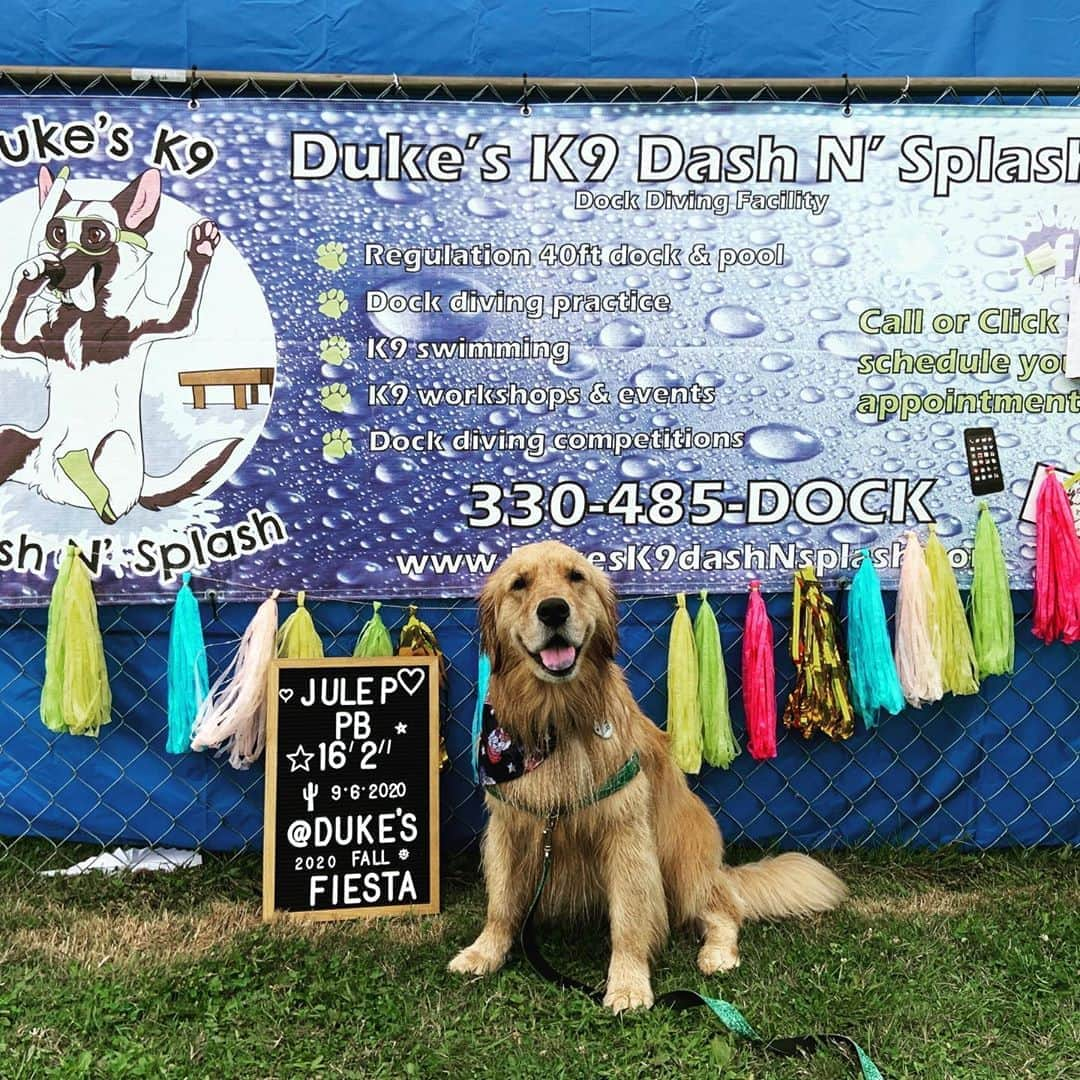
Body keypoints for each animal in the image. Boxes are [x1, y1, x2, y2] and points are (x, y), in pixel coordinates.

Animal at [447, 540, 842, 1010]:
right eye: (519, 584)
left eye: (576, 577)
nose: (554, 610)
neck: (556, 719)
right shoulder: (509, 825)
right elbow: (502, 902)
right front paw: (485, 951)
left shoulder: (626, 834)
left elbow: (630, 918)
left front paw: (629, 982)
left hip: (680, 859)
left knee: (723, 908)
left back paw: (717, 953)